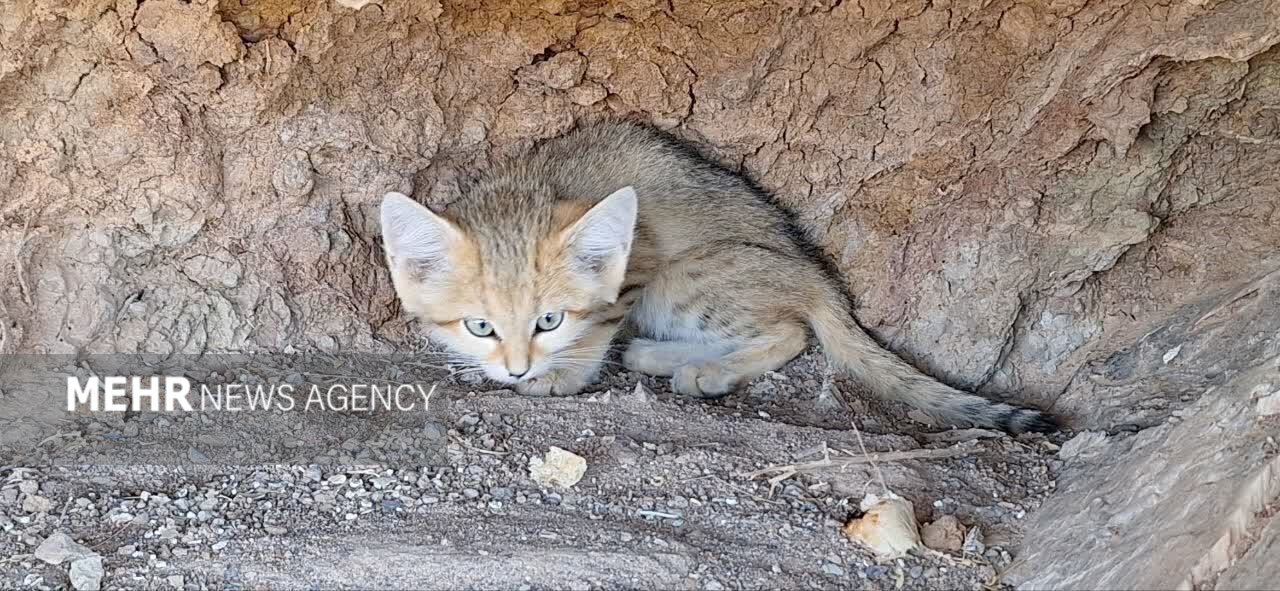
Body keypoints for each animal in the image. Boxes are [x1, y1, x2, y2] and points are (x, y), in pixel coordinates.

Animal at [378, 120, 1059, 434]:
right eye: (480, 326)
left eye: (550, 320)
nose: (517, 370)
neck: (527, 191)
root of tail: (815, 273)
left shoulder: (637, 266)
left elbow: (597, 328)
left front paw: (564, 375)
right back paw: (660, 357)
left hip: (684, 280)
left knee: (792, 331)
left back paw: (703, 369)